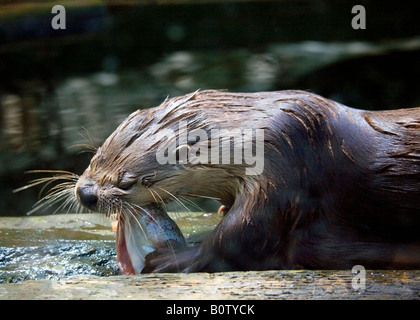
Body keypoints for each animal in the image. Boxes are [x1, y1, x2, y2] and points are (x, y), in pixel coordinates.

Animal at [72, 89, 420, 272]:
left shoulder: (283, 168)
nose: (86, 193)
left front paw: (172, 259)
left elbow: (242, 238)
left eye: (129, 182)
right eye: (94, 158)